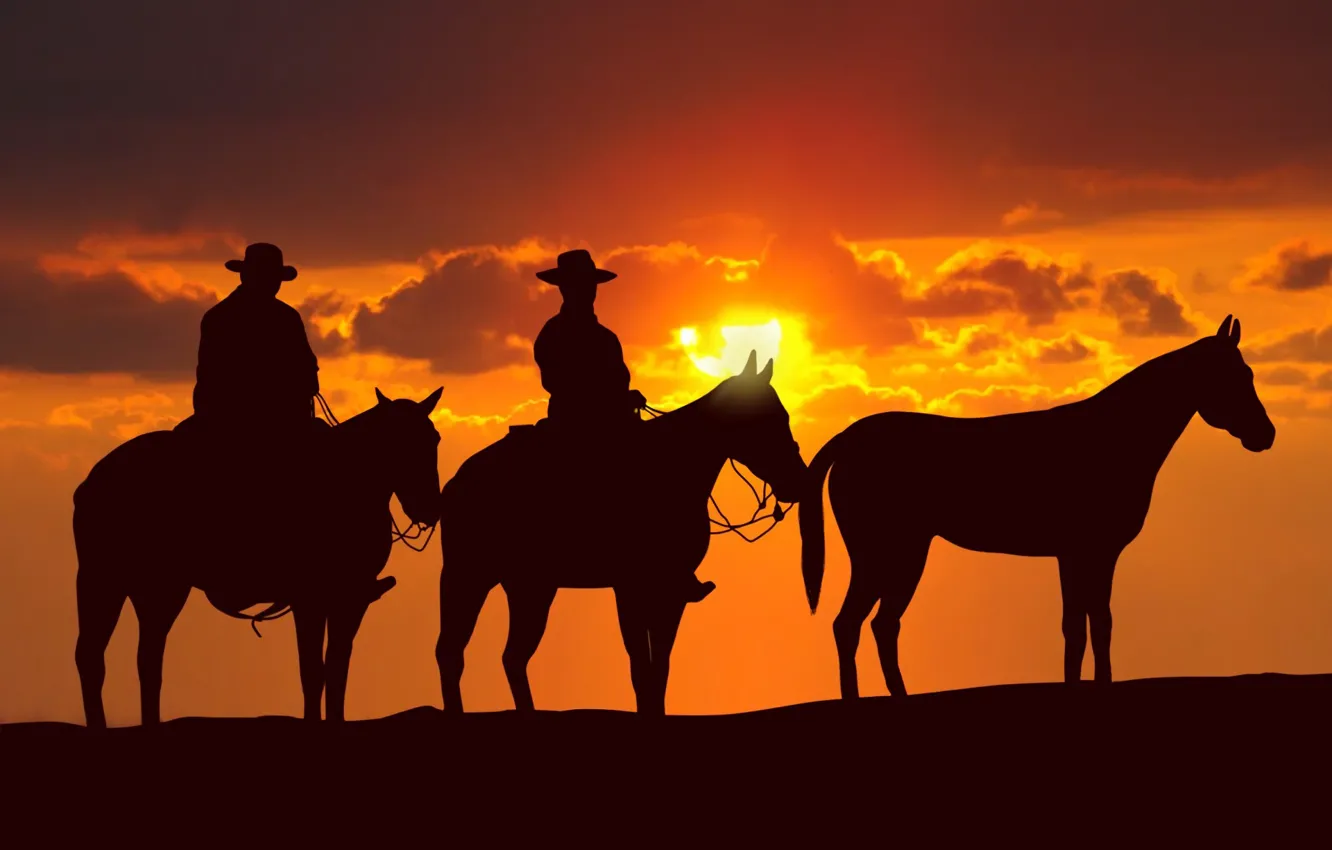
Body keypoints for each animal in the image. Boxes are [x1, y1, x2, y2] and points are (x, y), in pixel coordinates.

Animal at [72, 389, 442, 730]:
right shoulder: (310, 600)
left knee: (145, 658)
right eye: (400, 442)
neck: (350, 486)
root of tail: (91, 481)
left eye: (434, 439)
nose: (429, 508)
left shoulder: (350, 600)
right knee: (93, 656)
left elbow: (337, 669)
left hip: (154, 590)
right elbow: (313, 671)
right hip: (105, 580)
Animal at [442, 351, 804, 719]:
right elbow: (641, 669)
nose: (798, 482)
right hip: (468, 576)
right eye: (767, 418)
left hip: (531, 589)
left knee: (513, 657)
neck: (674, 470)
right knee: (451, 651)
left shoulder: (670, 592)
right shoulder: (630, 587)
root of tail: (458, 480)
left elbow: (659, 670)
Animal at [793, 317, 1273, 703]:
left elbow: (1083, 624)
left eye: (1248, 373)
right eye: (1234, 376)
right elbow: (1092, 623)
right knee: (853, 624)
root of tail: (849, 438)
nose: (1265, 435)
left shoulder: (1079, 554)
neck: (1116, 437)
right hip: (885, 553)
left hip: (900, 554)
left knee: (878, 625)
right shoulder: (1090, 551)